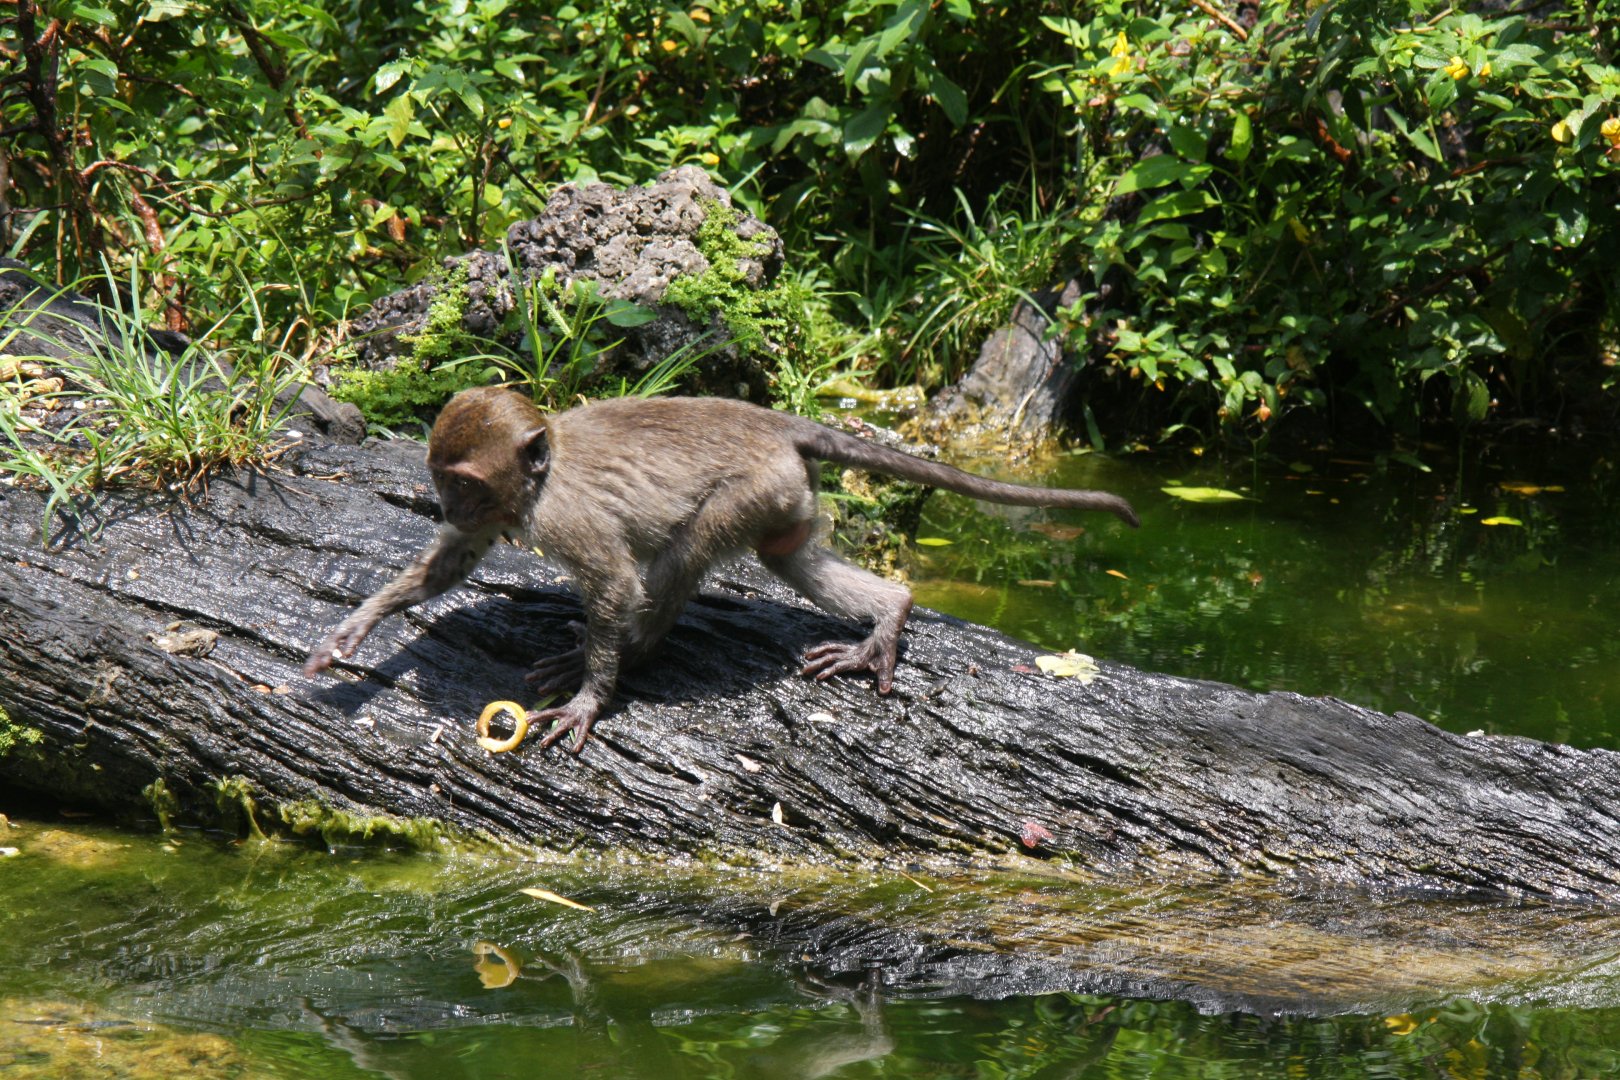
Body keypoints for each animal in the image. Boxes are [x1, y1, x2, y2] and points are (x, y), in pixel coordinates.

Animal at [305, 387, 1139, 754]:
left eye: (465, 483)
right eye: (443, 479)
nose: (448, 503)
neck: (543, 476)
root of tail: (775, 422)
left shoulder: (563, 517)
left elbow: (614, 583)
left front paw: (590, 696)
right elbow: (448, 567)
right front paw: (355, 630)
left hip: (752, 486)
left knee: (685, 552)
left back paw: (632, 652)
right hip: (787, 493)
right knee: (786, 554)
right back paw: (892, 611)